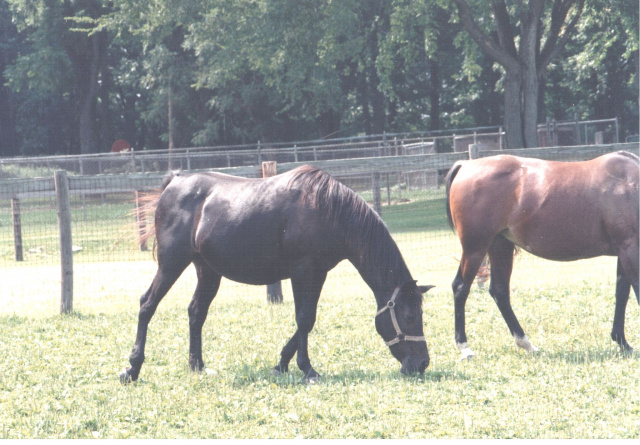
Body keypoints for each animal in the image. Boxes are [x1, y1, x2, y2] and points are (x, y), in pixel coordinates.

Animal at [444, 151, 640, 360]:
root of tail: (465, 165)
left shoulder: (624, 251)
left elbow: (622, 294)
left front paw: (623, 342)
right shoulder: (630, 249)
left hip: (500, 246)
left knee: (499, 291)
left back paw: (526, 343)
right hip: (476, 248)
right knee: (461, 288)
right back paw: (464, 347)